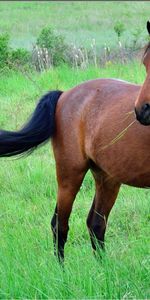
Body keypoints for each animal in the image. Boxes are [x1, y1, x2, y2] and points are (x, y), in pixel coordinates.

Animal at [0, 24, 149, 262]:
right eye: (145, 63)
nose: (143, 111)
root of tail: (64, 94)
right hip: (70, 174)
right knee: (59, 224)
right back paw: (61, 270)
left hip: (106, 178)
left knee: (96, 224)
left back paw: (104, 269)